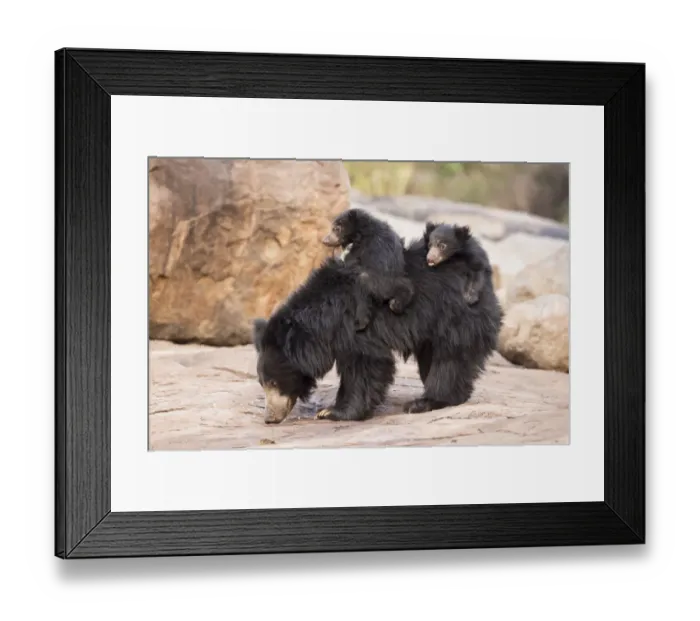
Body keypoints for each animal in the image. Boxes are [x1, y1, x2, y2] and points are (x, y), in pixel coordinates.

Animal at [252, 232, 504, 424]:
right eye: (262, 383)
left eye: (273, 382)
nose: (269, 418)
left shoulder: (356, 325)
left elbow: (365, 365)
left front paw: (333, 412)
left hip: (456, 315)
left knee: (450, 359)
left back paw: (425, 402)